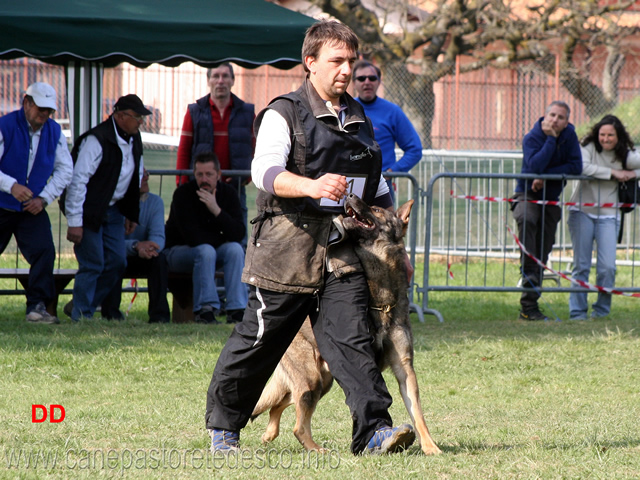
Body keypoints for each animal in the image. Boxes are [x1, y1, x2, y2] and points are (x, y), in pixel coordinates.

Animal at [252, 194, 442, 454]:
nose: (350, 195)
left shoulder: (404, 368)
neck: (381, 300)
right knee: (298, 425)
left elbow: (418, 413)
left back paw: (269, 434)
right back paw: (315, 449)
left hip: (322, 382)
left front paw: (430, 446)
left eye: (376, 209)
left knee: (280, 405)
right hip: (312, 380)